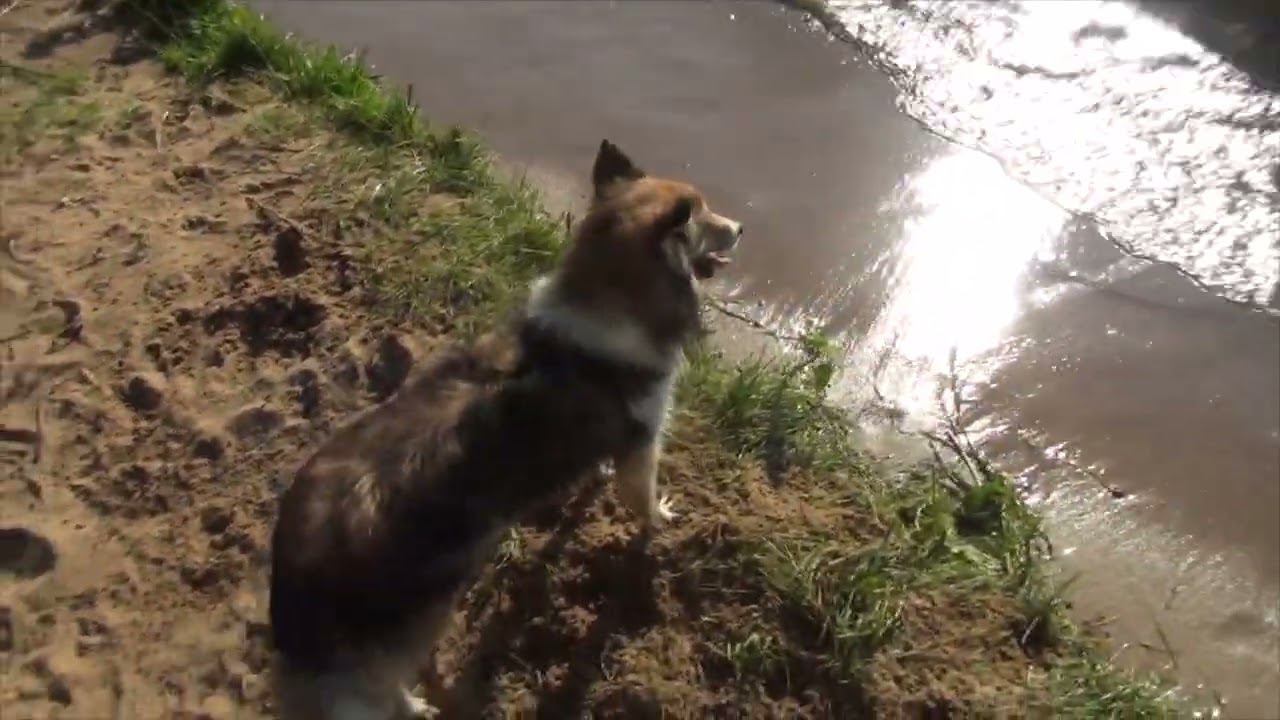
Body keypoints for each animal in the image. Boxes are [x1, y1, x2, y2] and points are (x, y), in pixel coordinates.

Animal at [269, 139, 743, 719]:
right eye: (704, 216)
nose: (740, 228)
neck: (608, 294)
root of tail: (295, 569)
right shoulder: (644, 443)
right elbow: (643, 502)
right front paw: (662, 520)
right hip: (422, 620)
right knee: (381, 686)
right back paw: (419, 705)